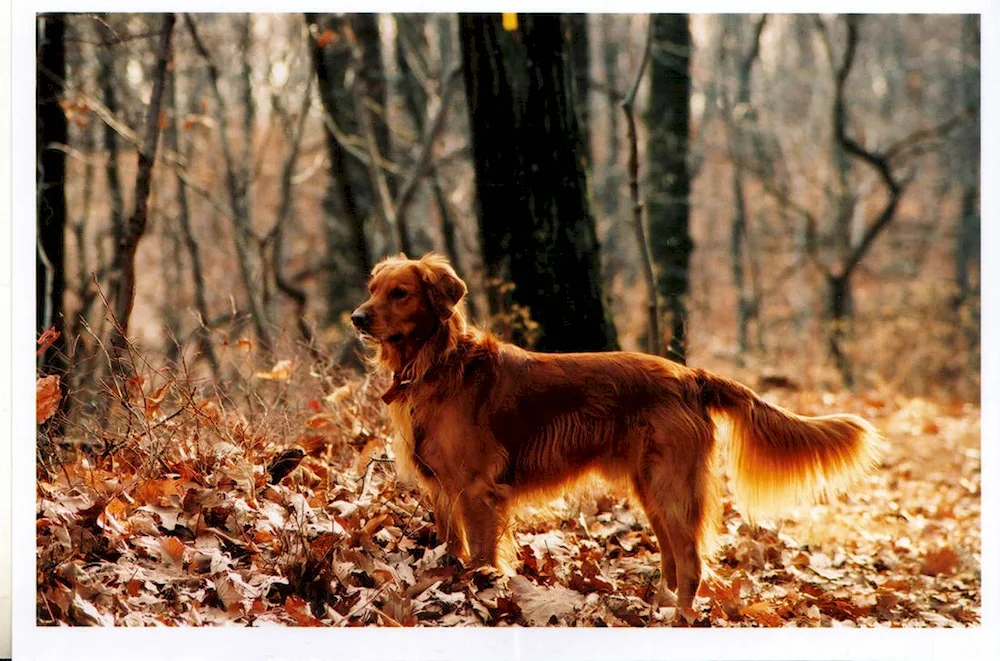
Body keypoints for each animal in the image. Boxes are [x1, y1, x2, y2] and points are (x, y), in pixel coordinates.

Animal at [350, 251, 876, 620]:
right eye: (373, 289)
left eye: (400, 293)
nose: (357, 317)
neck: (438, 363)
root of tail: (691, 376)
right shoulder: (443, 490)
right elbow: (451, 551)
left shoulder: (479, 490)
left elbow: (480, 558)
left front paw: (478, 595)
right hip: (651, 488)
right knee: (673, 559)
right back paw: (660, 609)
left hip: (670, 485)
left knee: (691, 561)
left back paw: (680, 620)